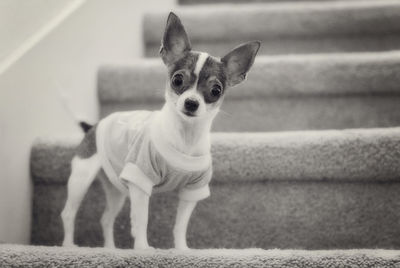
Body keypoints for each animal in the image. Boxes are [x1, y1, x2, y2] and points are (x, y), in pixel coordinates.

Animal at [59, 11, 260, 250]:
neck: (185, 137)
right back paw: (69, 246)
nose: (191, 103)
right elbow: (141, 220)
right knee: (68, 213)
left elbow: (180, 225)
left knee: (106, 218)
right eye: (177, 80)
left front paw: (181, 249)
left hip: (115, 187)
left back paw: (110, 249)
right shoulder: (140, 181)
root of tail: (93, 126)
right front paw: (143, 249)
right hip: (82, 177)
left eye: (215, 91)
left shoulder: (192, 191)